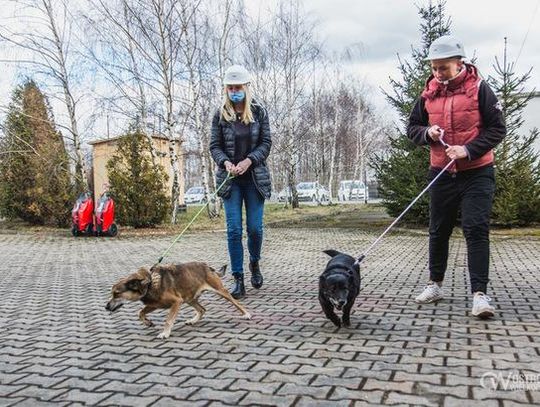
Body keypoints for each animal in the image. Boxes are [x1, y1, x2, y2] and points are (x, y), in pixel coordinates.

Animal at [105, 262, 253, 340]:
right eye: (112, 294)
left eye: (116, 294)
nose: (106, 307)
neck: (150, 284)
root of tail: (207, 266)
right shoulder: (154, 305)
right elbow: (140, 313)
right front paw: (147, 322)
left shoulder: (176, 302)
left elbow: (168, 320)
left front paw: (165, 333)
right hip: (189, 298)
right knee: (202, 309)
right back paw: (193, 320)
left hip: (220, 291)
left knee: (236, 303)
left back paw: (246, 314)